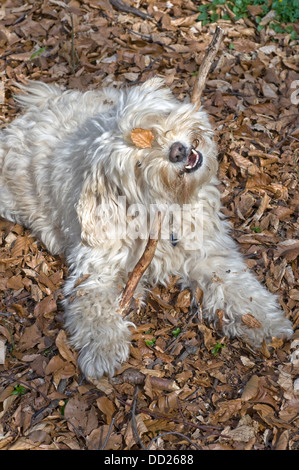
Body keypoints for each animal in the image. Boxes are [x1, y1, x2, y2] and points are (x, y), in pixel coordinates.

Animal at [0, 77, 294, 378]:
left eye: (153, 125)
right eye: (138, 164)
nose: (177, 151)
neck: (166, 212)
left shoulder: (209, 255)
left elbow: (238, 288)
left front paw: (266, 323)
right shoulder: (97, 270)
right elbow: (94, 306)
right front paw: (103, 350)